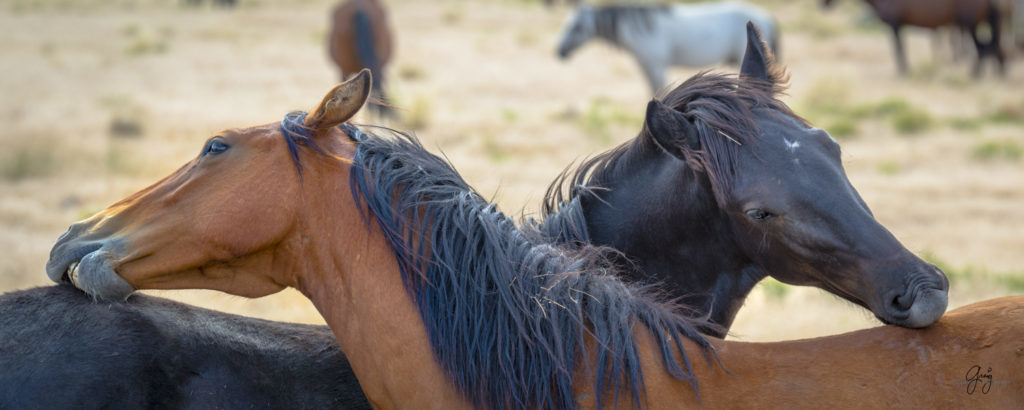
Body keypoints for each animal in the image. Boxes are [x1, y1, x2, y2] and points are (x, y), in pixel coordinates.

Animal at [561, 1, 774, 92]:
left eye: (577, 26)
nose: (559, 51)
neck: (642, 28)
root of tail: (766, 16)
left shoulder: (657, 66)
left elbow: (659, 91)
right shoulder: (646, 66)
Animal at [823, 0, 1007, 76]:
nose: (823, 4)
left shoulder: (894, 24)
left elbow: (899, 49)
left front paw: (903, 71)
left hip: (970, 24)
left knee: (983, 49)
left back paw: (976, 75)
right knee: (994, 48)